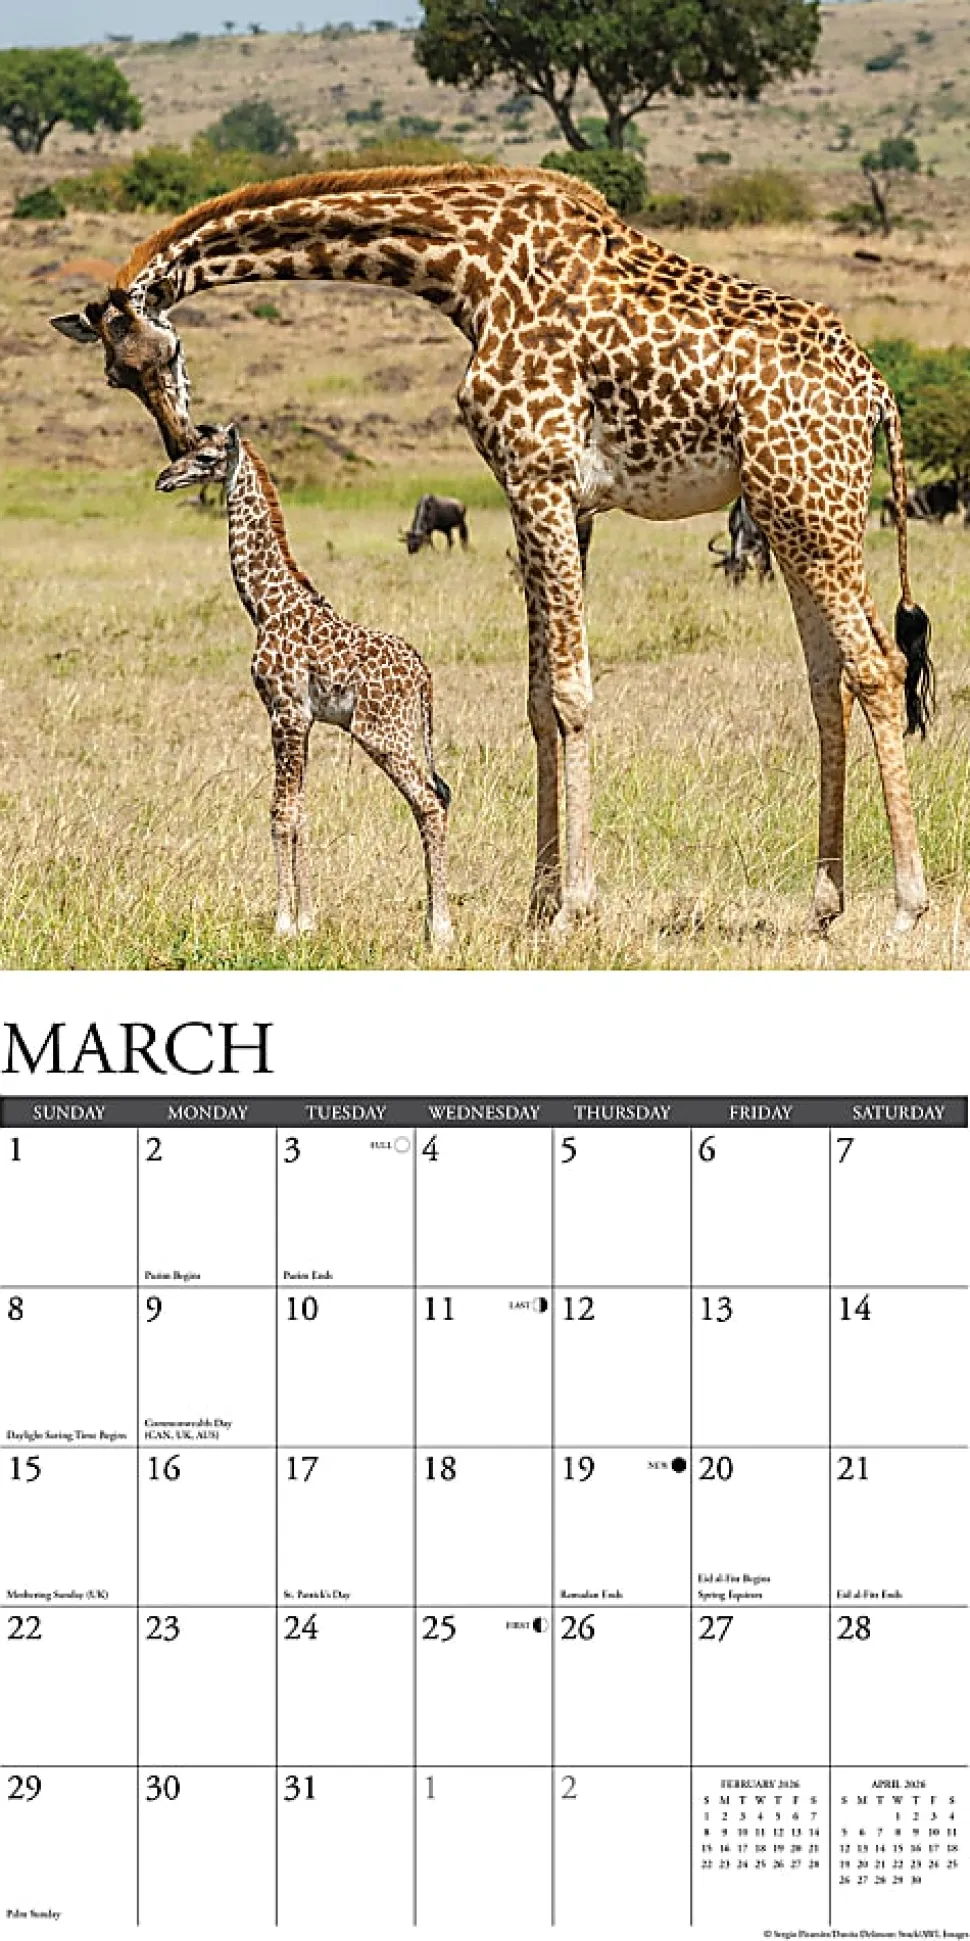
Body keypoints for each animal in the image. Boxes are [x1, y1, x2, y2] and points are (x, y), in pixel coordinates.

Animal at [155, 423, 454, 950]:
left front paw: (283, 923)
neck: (264, 606)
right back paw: (430, 925)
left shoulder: (284, 711)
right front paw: (308, 920)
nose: (163, 478)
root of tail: (423, 675)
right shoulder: (305, 719)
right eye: (189, 451)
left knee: (430, 803)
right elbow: (301, 811)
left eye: (206, 457)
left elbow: (280, 813)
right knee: (432, 801)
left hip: (383, 733)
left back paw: (440, 930)